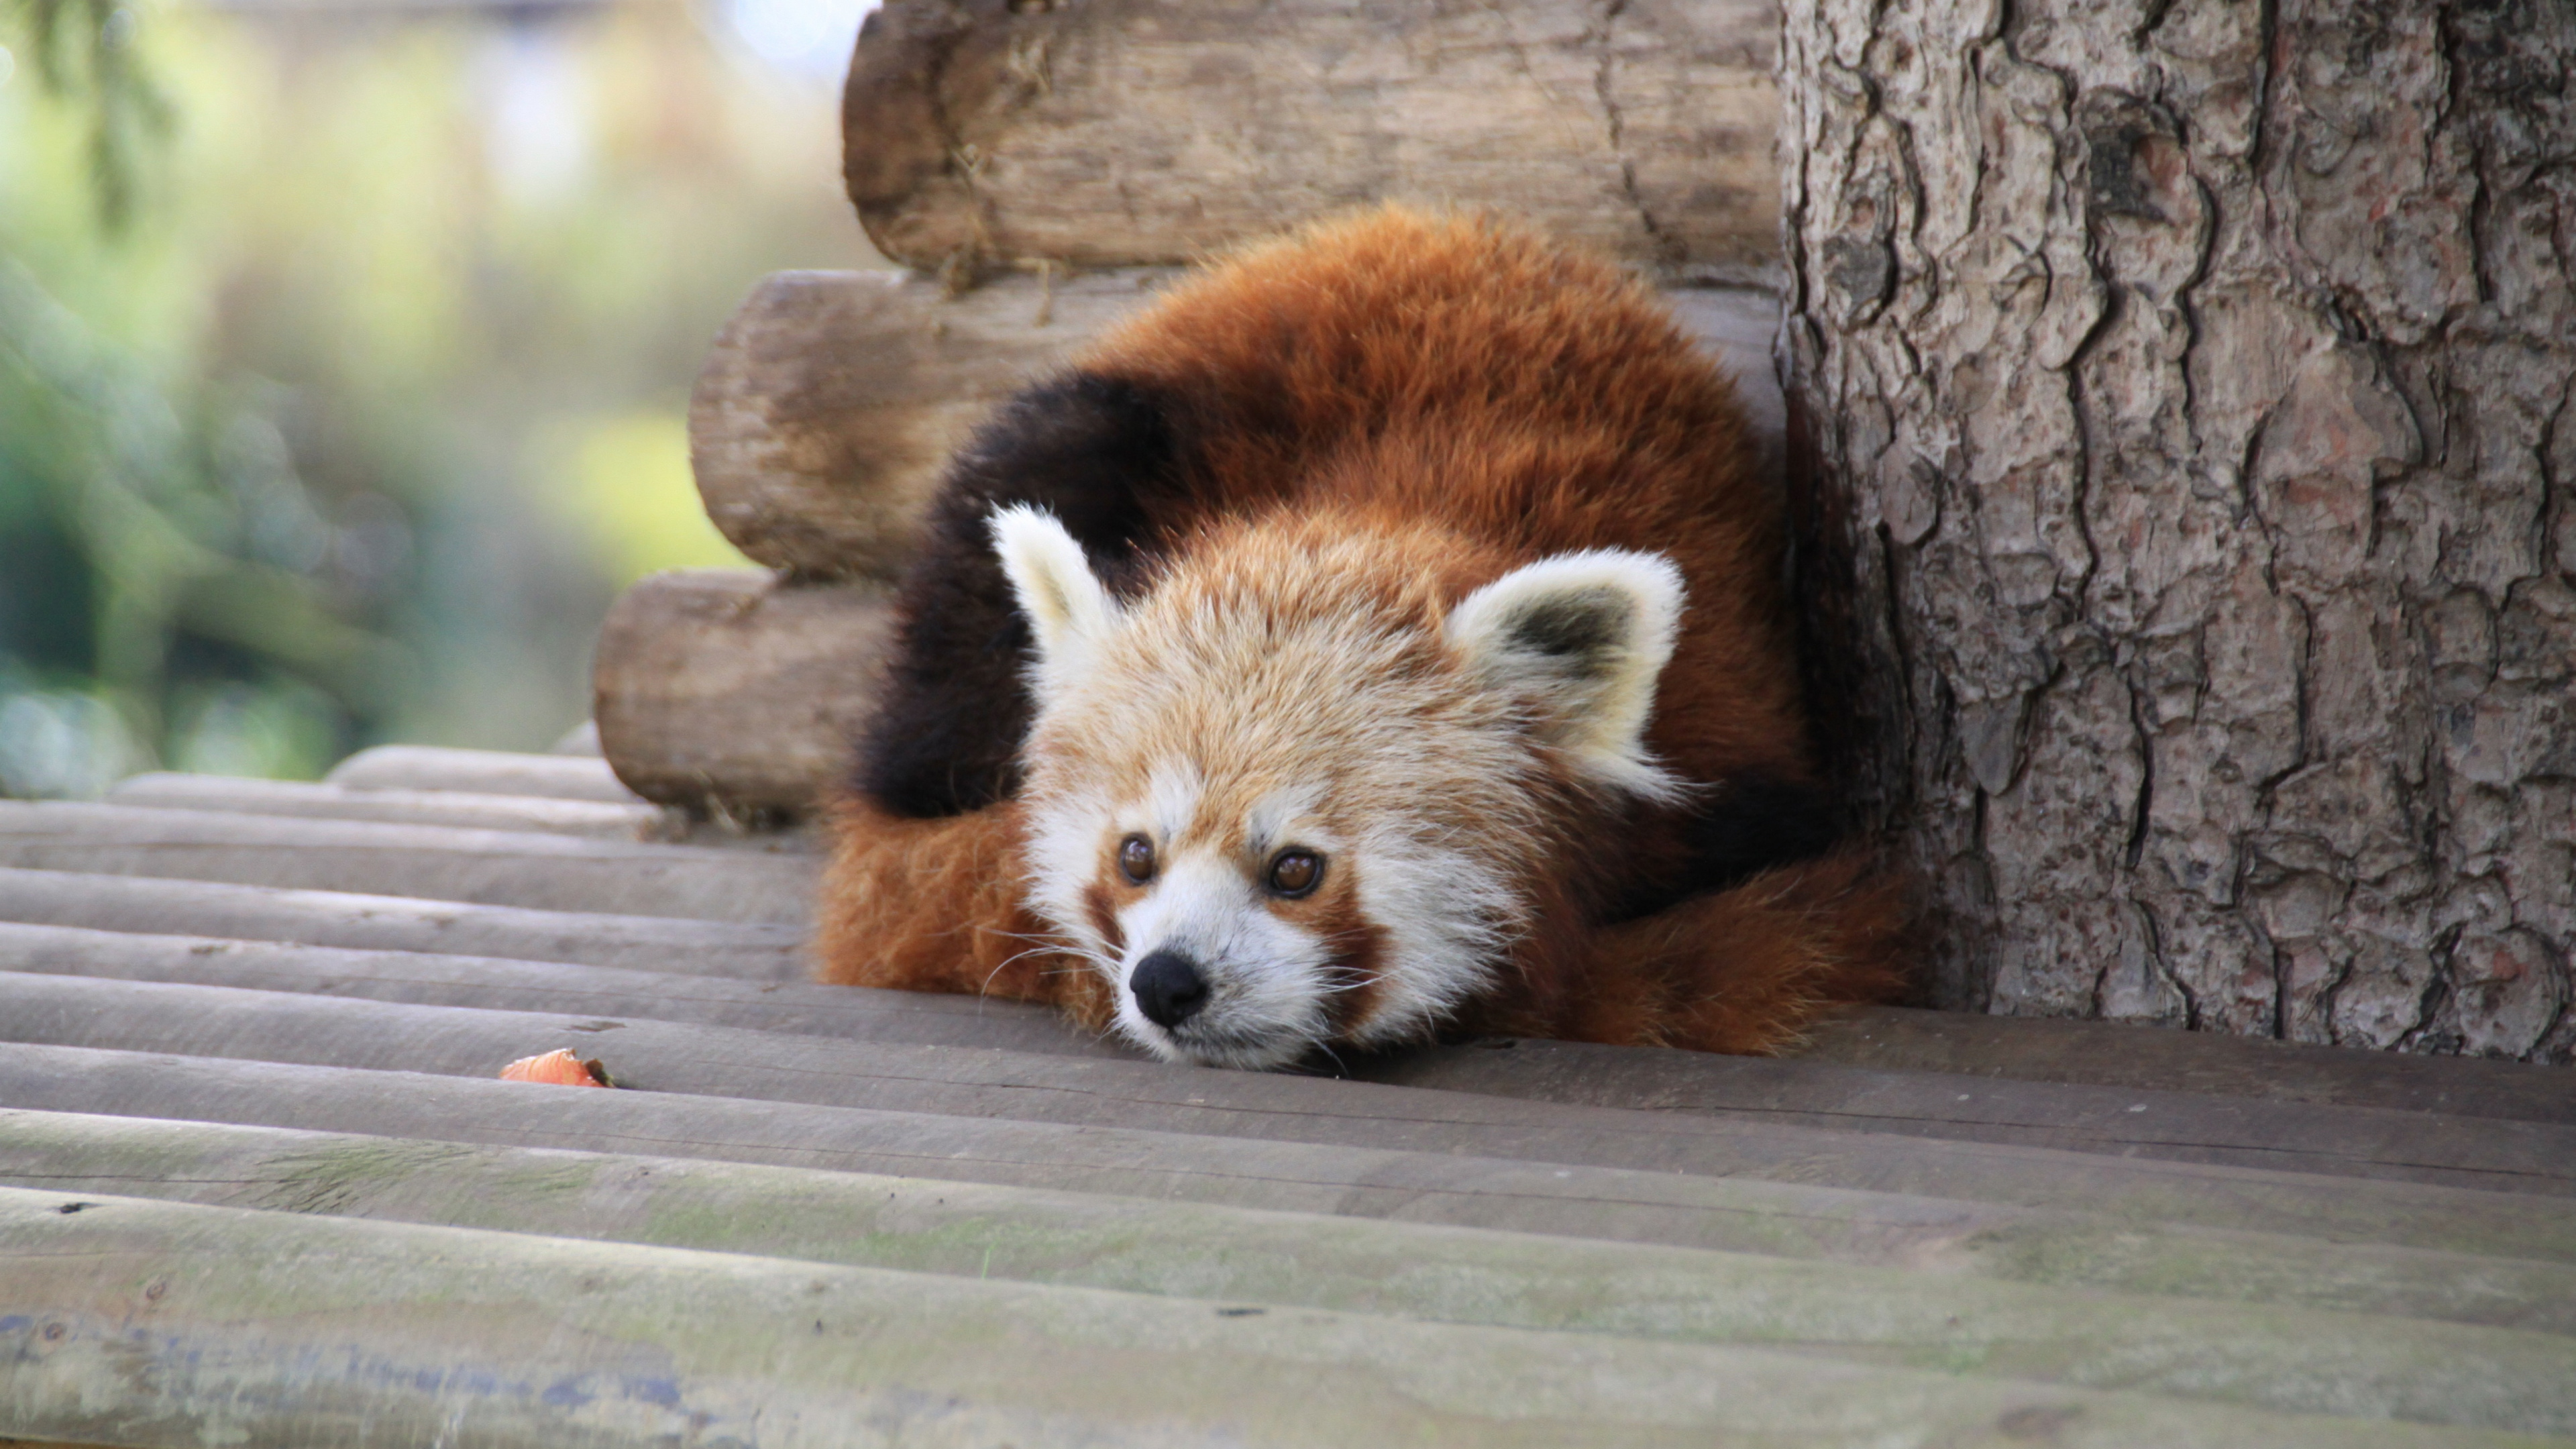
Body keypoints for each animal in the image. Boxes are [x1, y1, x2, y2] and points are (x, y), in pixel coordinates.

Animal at [814, 206, 1906, 1062]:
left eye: (1297, 869)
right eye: (1135, 855)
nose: (1167, 981)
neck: (1381, 512)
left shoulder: (1731, 740)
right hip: (1084, 436)